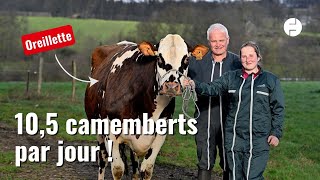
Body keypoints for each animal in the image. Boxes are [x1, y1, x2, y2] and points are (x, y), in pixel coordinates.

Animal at [84, 34, 209, 180]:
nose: (171, 86)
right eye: (159, 58)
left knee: (134, 164)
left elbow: (147, 169)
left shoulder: (160, 133)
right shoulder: (111, 132)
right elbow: (118, 169)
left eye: (187, 59)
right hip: (98, 130)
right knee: (102, 160)